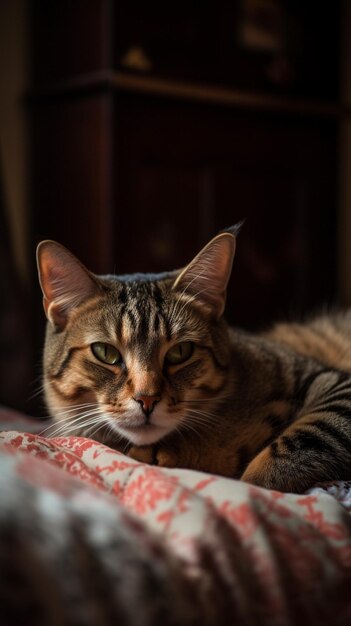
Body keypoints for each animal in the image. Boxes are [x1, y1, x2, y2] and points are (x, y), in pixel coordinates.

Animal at [35, 224, 351, 492]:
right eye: (106, 353)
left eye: (180, 352)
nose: (147, 399)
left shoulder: (331, 381)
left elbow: (304, 437)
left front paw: (254, 483)